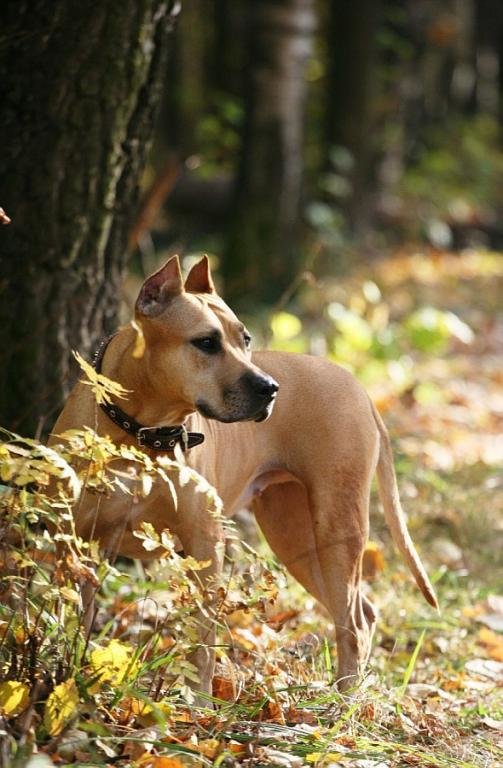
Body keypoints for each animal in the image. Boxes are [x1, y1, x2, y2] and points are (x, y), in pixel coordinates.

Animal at [49, 256, 440, 696]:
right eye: (206, 342)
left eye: (246, 339)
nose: (270, 388)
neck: (141, 431)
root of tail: (359, 388)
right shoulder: (76, 539)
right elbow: (73, 611)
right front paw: (67, 671)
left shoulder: (204, 542)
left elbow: (202, 639)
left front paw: (198, 705)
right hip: (294, 536)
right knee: (362, 611)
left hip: (338, 526)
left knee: (352, 621)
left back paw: (344, 700)